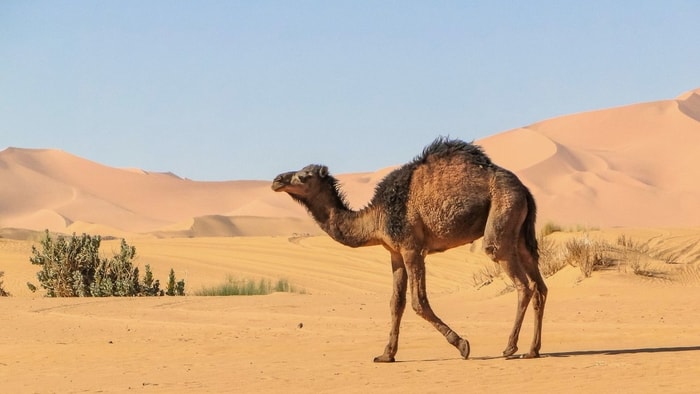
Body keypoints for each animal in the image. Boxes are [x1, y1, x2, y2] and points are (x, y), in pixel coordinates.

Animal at [274, 137, 548, 362]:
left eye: (304, 176)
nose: (277, 180)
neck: (377, 217)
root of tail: (524, 189)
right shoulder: (394, 252)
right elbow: (396, 302)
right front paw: (386, 354)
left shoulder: (411, 248)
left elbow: (419, 302)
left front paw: (462, 345)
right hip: (519, 230)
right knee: (540, 286)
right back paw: (532, 350)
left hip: (502, 212)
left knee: (521, 281)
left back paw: (510, 347)